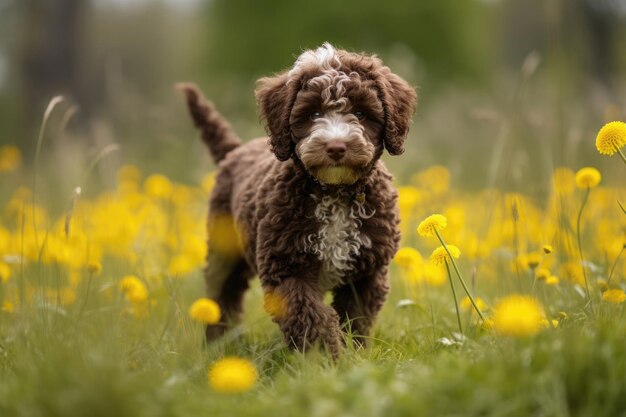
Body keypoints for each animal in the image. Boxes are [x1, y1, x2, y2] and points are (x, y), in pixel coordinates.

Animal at [178, 42, 416, 356]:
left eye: (361, 113)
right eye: (313, 114)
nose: (336, 147)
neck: (335, 193)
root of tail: (237, 150)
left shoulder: (367, 272)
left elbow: (355, 318)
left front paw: (353, 354)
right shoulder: (287, 268)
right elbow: (310, 315)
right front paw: (326, 357)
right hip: (225, 247)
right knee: (222, 297)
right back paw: (217, 348)